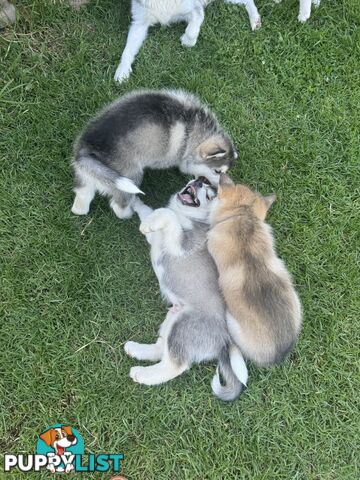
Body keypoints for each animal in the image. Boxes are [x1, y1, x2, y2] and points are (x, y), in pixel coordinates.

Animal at [71, 88, 238, 219]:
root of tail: (88, 146)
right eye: (217, 171)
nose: (220, 189)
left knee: (82, 194)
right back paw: (130, 212)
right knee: (119, 206)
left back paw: (80, 208)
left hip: (89, 173)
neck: (192, 132)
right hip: (131, 175)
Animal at [114, 0, 260, 82]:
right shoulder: (139, 23)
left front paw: (186, 41)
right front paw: (122, 71)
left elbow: (192, 31)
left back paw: (255, 20)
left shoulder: (195, 10)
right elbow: (127, 51)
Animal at [124, 176, 248, 402]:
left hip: (182, 326)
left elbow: (168, 214)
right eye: (203, 181)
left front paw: (150, 221)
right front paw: (137, 204)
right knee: (160, 349)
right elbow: (152, 211)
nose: (200, 179)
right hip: (173, 318)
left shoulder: (180, 244)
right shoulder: (156, 238)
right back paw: (136, 349)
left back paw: (142, 374)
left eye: (210, 194)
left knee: (174, 365)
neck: (188, 216)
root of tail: (224, 341)